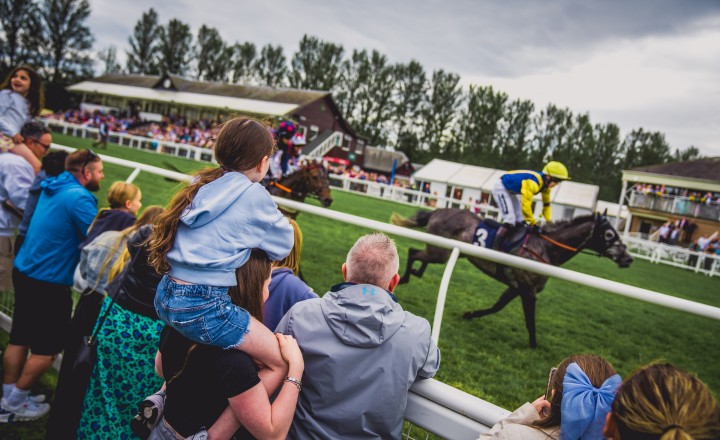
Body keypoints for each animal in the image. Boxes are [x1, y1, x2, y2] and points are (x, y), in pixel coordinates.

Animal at [390, 208, 632, 348]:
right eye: (609, 234)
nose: (628, 258)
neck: (545, 249)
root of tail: (438, 210)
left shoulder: (517, 287)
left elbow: (497, 306)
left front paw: (470, 314)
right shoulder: (528, 290)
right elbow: (530, 320)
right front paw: (534, 345)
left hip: (443, 252)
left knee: (418, 254)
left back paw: (415, 273)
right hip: (440, 251)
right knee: (413, 251)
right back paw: (407, 277)